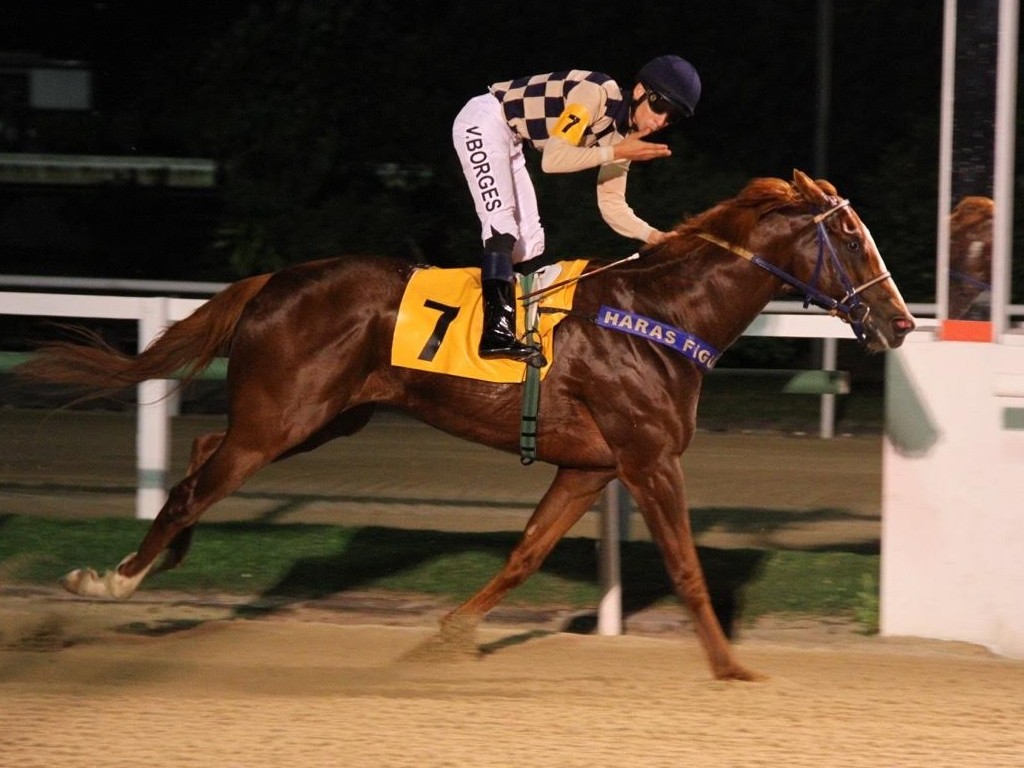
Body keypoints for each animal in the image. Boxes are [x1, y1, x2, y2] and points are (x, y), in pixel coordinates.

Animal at [16, 171, 917, 684]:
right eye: (848, 234)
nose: (901, 322)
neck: (660, 313)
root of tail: (275, 279)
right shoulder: (650, 459)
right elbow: (689, 570)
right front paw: (732, 668)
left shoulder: (591, 466)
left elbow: (524, 554)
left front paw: (447, 635)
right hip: (281, 419)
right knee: (197, 482)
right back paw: (111, 581)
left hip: (324, 419)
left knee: (203, 456)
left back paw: (162, 559)